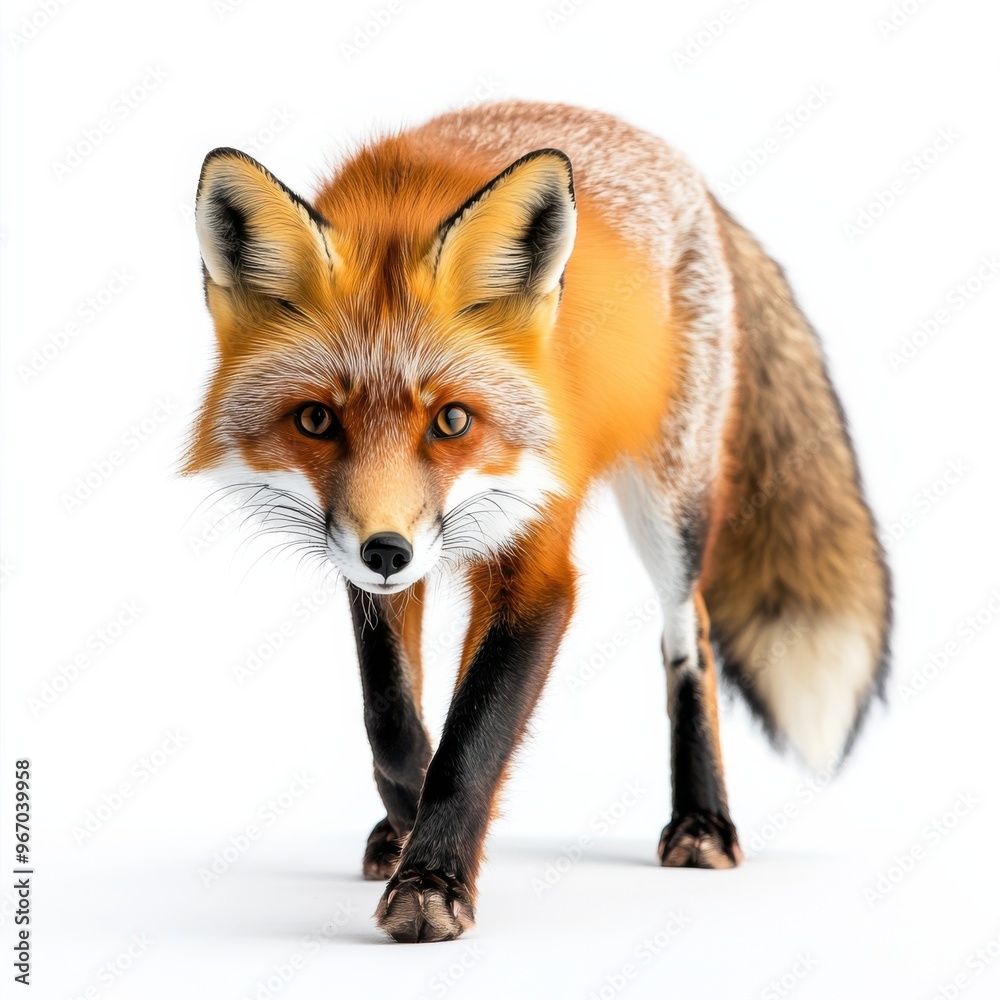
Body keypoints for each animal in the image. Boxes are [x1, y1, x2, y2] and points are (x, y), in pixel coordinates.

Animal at [184, 100, 891, 943]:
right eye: (317, 420)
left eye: (453, 420)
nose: (387, 551)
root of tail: (683, 170)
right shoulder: (364, 555)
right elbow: (390, 713)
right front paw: (407, 819)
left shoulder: (539, 567)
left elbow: (472, 740)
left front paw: (432, 880)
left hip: (670, 506)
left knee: (690, 633)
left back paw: (702, 822)